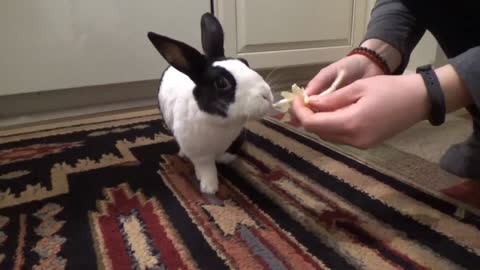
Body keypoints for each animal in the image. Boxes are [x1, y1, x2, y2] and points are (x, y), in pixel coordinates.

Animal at [146, 13, 274, 194]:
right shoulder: (199, 154)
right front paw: (209, 188)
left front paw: (224, 160)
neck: (221, 123)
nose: (266, 95)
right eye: (221, 83)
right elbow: (207, 168)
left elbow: (225, 155)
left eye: (245, 62)